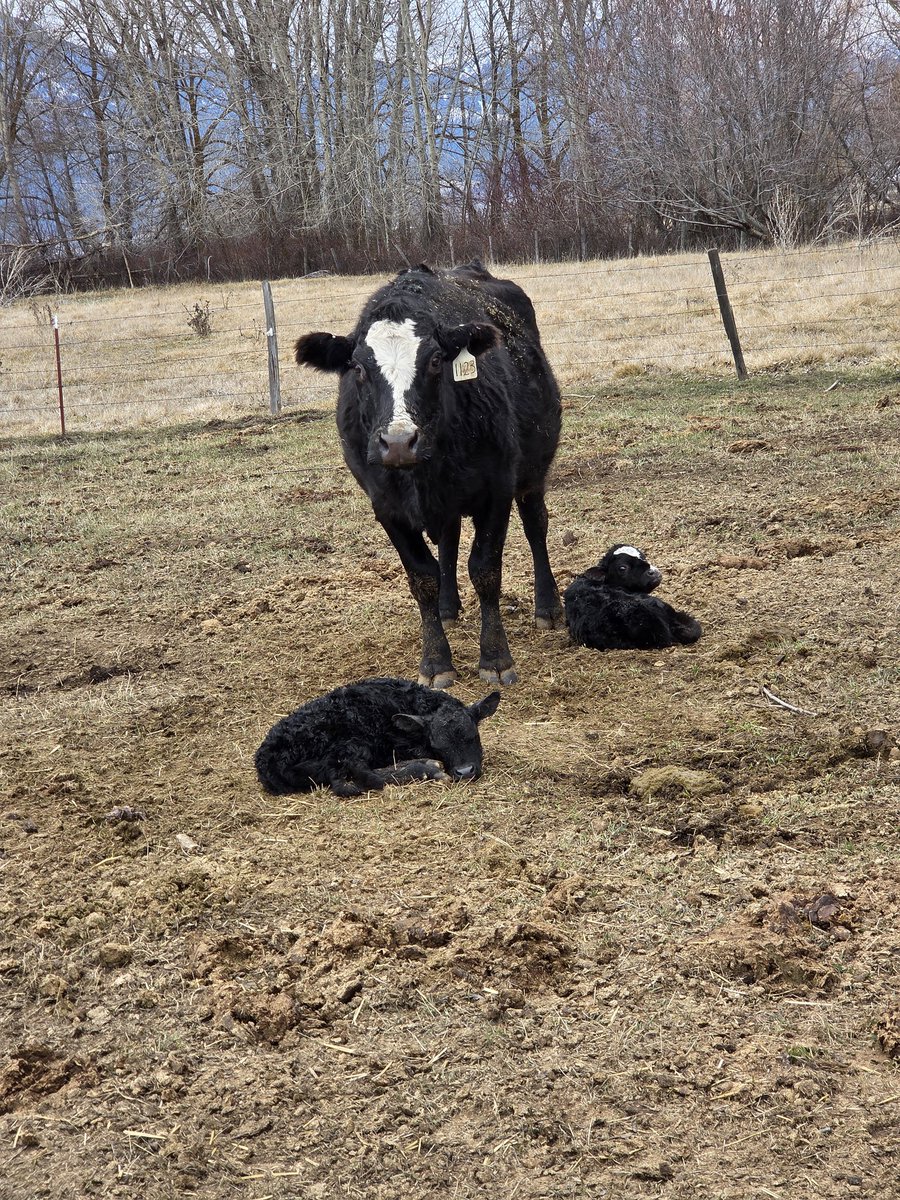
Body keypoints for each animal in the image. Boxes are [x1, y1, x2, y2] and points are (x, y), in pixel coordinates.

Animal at [294, 262, 563, 688]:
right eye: (358, 368)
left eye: (436, 360)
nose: (398, 442)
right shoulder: (387, 506)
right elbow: (423, 578)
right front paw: (436, 661)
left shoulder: (497, 491)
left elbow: (485, 570)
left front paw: (495, 658)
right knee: (448, 542)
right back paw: (448, 608)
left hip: (533, 473)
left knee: (536, 527)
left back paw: (548, 606)